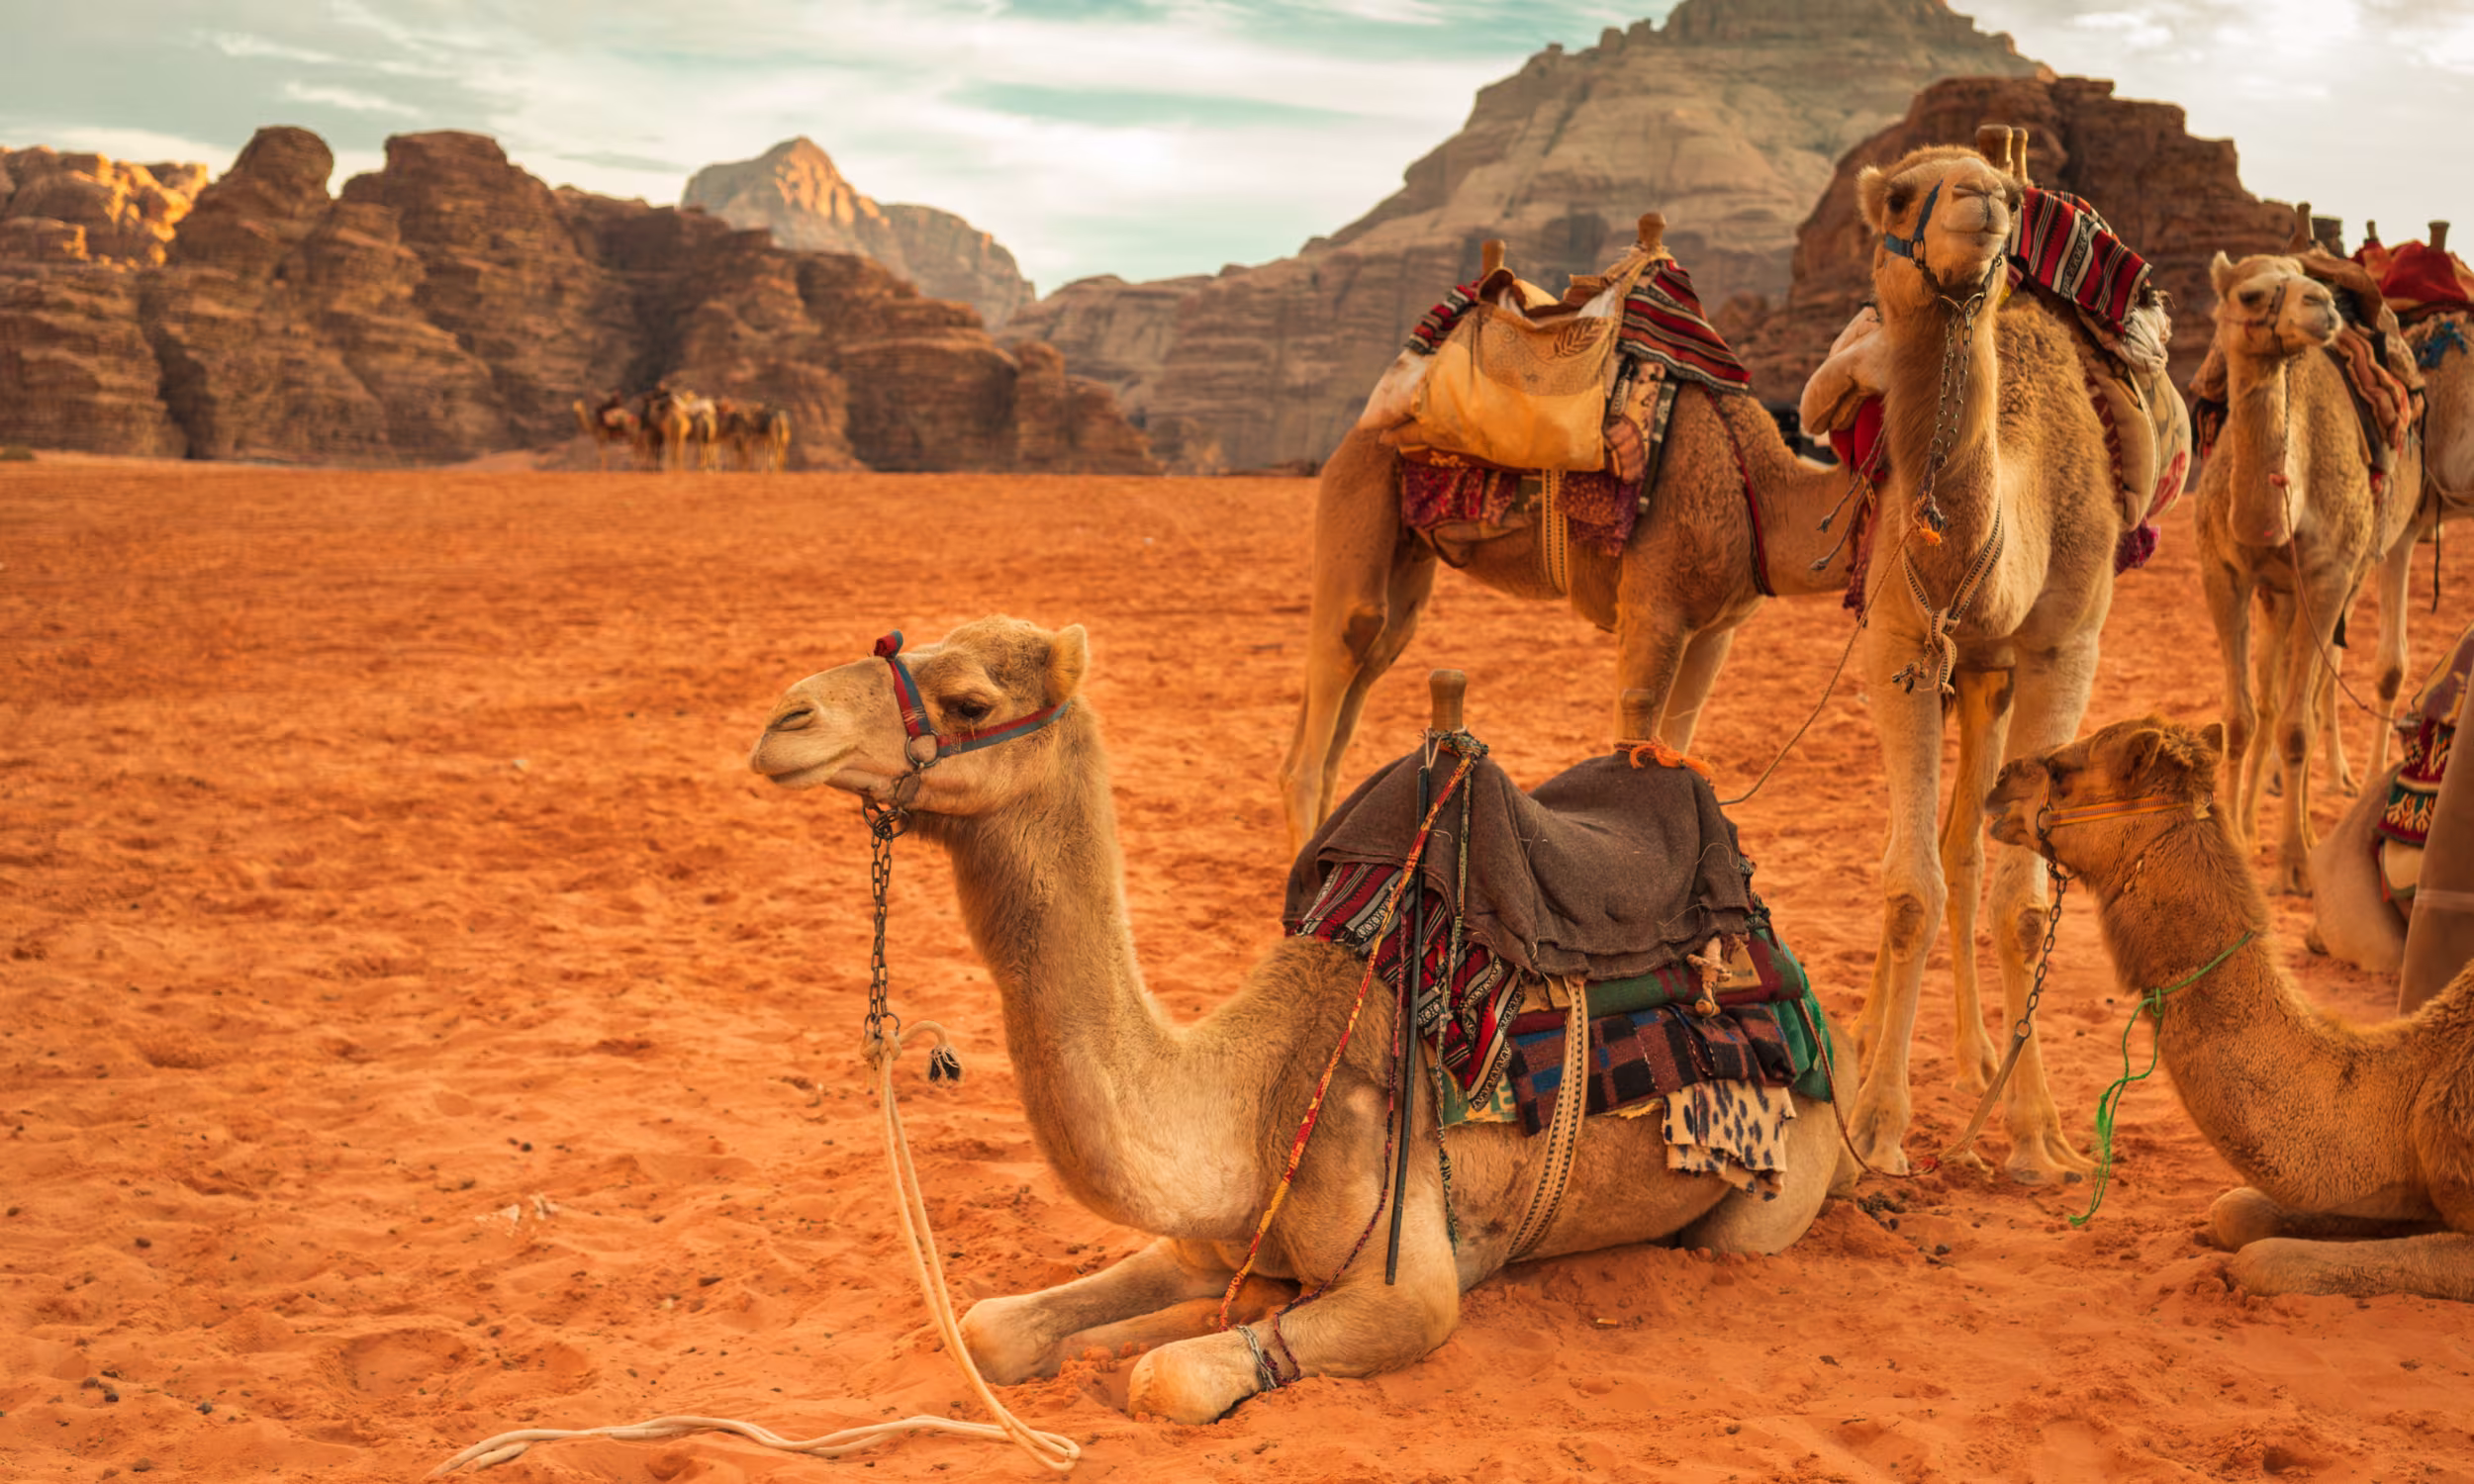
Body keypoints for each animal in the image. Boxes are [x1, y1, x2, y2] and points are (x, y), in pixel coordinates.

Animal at [749, 616, 1848, 1423]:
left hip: (1765, 1205)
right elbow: (992, 1328)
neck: (1250, 1097)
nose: (784, 719)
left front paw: (1152, 1347)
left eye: (972, 700)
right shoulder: (1203, 1238)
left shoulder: (1410, 1288)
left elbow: (1173, 1374)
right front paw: (1091, 1337)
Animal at [1281, 226, 1861, 849]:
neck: (1760, 486)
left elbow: (1679, 749)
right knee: (1341, 665)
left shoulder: (1715, 630)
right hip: (1358, 491)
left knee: (1373, 657)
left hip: (1407, 556)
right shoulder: (1653, 611)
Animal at [2195, 251, 2423, 892]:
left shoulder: (2327, 579)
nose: (2320, 305)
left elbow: (2298, 725)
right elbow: (2241, 719)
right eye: (2250, 294)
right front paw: (2237, 839)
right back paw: (2251, 823)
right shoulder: (2222, 573)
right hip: (2278, 596)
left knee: (2318, 692)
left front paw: (2295, 863)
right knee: (2272, 700)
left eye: (2303, 282)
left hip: (2363, 565)